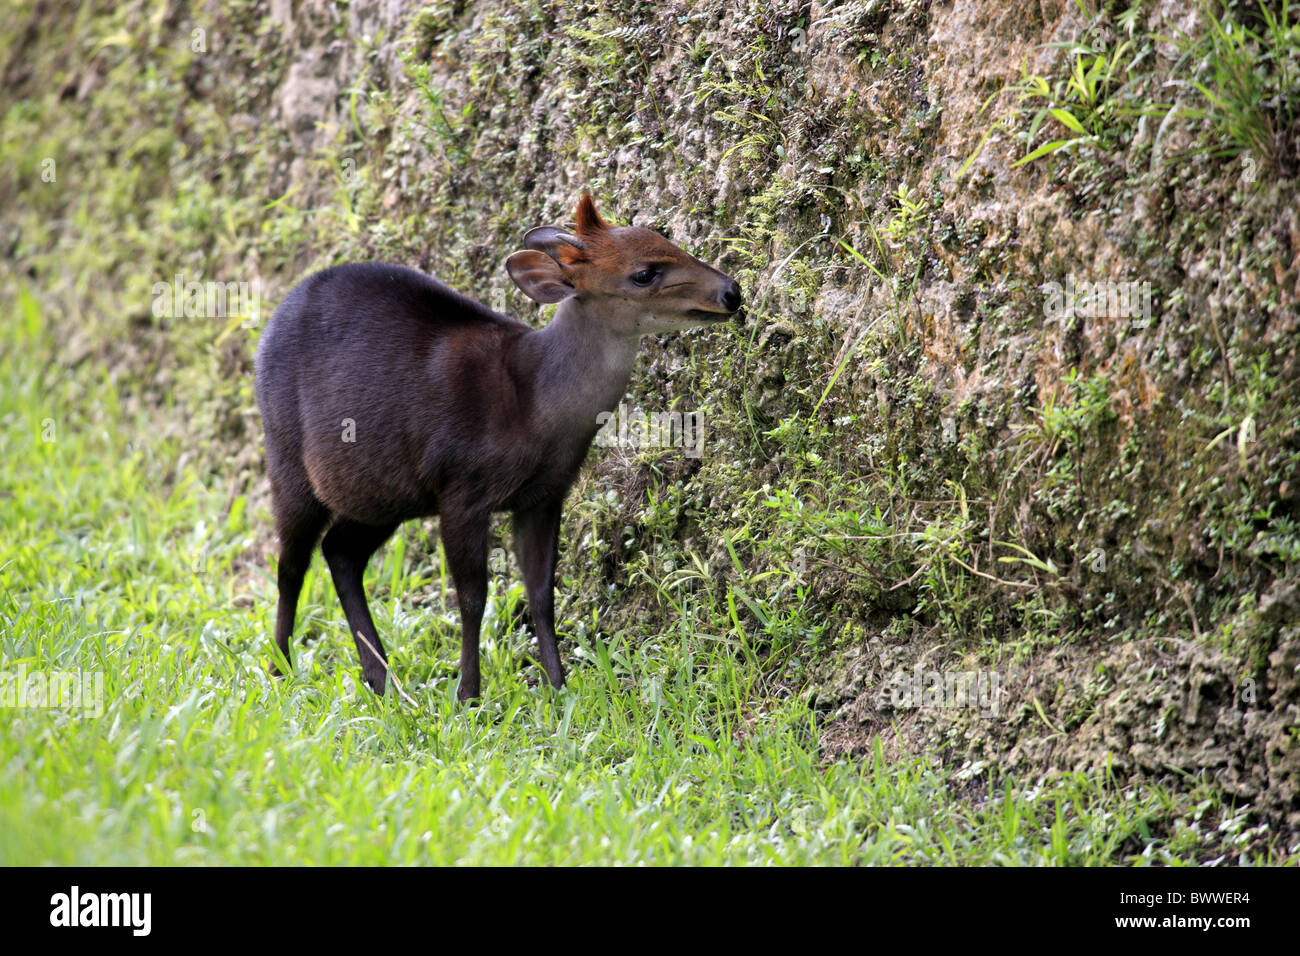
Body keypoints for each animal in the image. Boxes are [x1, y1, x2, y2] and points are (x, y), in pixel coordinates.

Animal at [254, 196, 743, 702]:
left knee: (341, 552)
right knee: (291, 564)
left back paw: (381, 678)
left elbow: (541, 594)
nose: (732, 292)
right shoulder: (461, 490)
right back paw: (279, 669)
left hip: (382, 492)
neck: (535, 403)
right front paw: (469, 694)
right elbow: (473, 597)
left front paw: (557, 686)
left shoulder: (545, 495)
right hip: (287, 457)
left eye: (668, 238)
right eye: (644, 273)